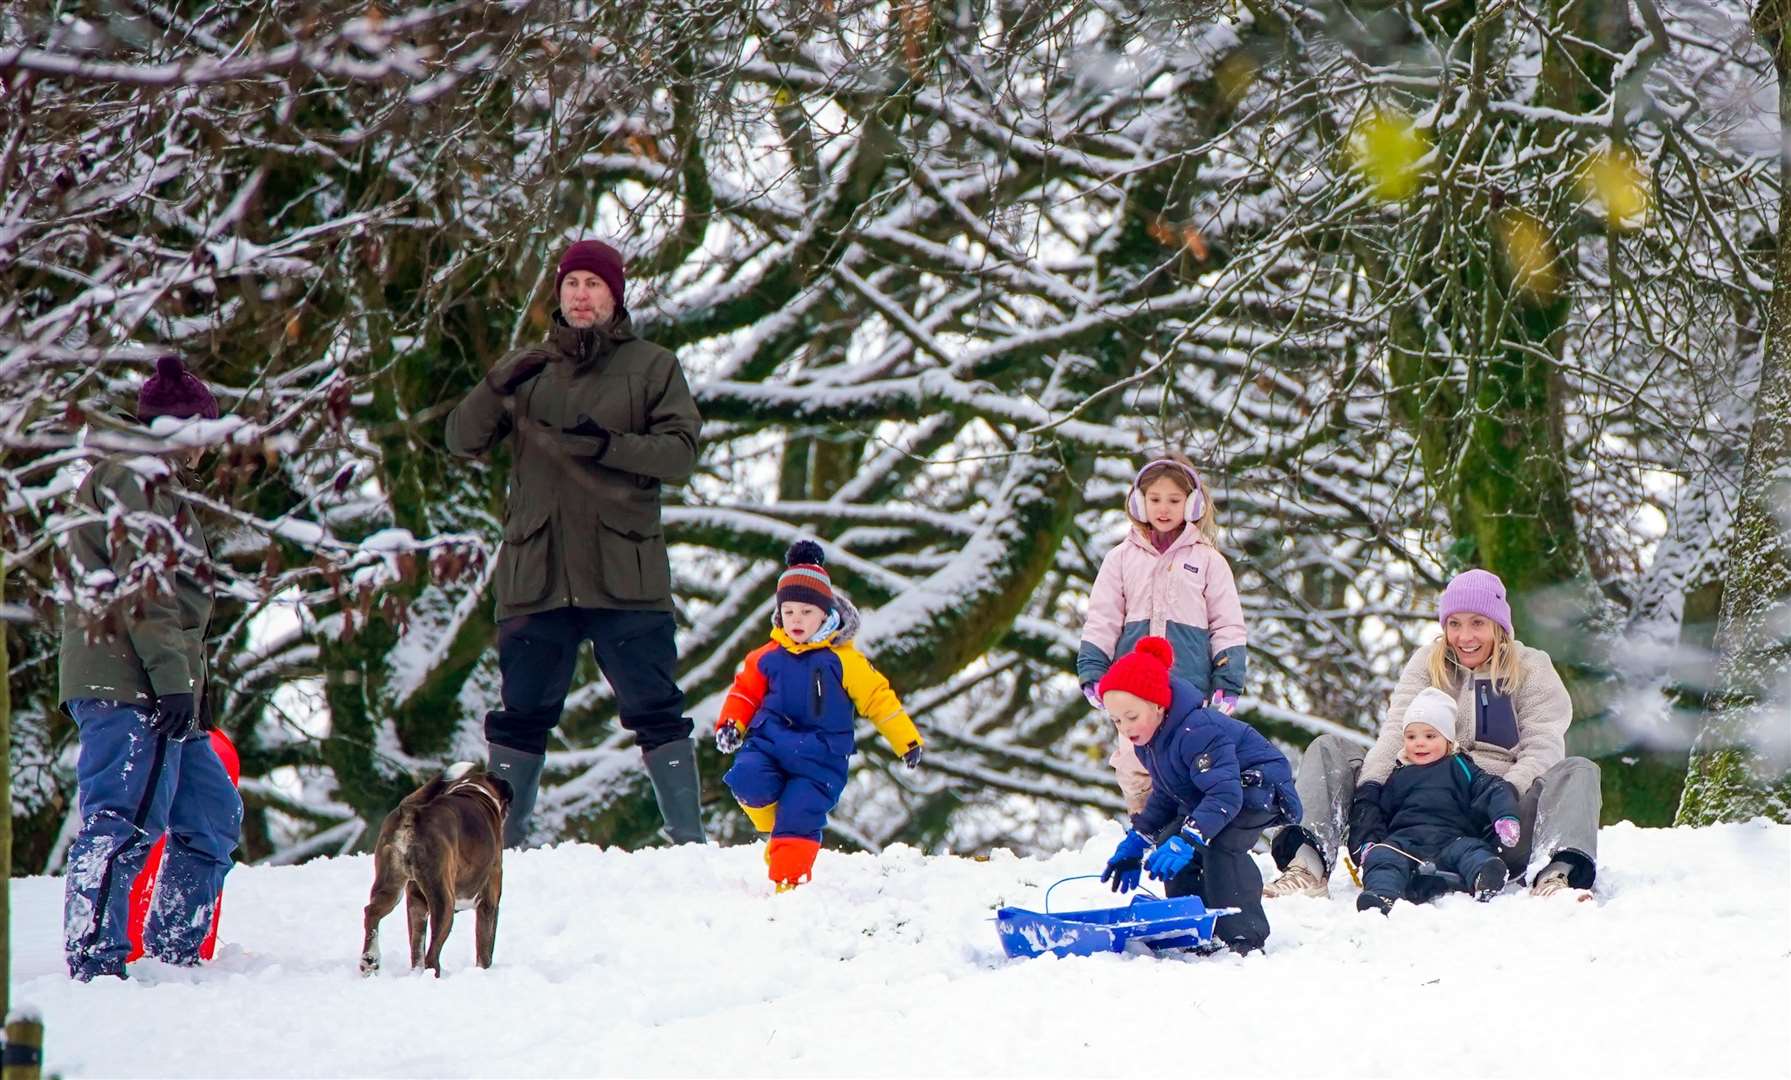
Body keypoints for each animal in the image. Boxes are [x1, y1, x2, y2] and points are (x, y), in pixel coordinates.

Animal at [356, 759, 512, 981]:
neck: (475, 790)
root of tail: (412, 813)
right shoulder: (489, 903)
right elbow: (485, 950)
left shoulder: (417, 904)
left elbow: (416, 946)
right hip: (443, 901)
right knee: (432, 954)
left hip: (392, 888)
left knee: (373, 914)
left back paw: (370, 960)